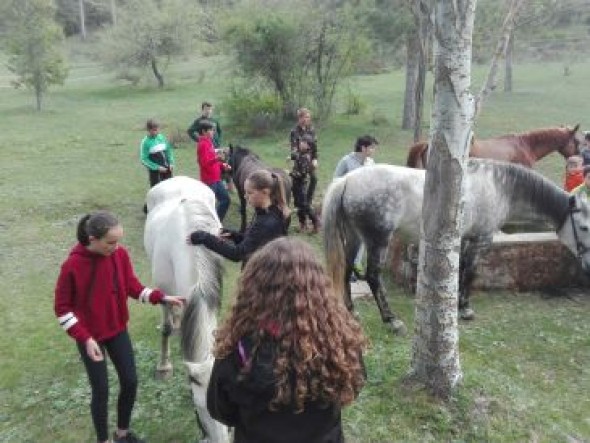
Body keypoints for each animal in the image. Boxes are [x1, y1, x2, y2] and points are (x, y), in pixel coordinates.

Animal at [322, 161, 590, 334]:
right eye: (584, 226)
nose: (587, 267)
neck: (499, 187)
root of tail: (347, 180)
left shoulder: (463, 240)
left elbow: (460, 271)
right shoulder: (480, 240)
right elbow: (470, 272)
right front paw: (465, 309)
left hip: (355, 237)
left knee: (346, 270)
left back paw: (351, 311)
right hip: (378, 240)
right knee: (372, 277)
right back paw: (391, 320)